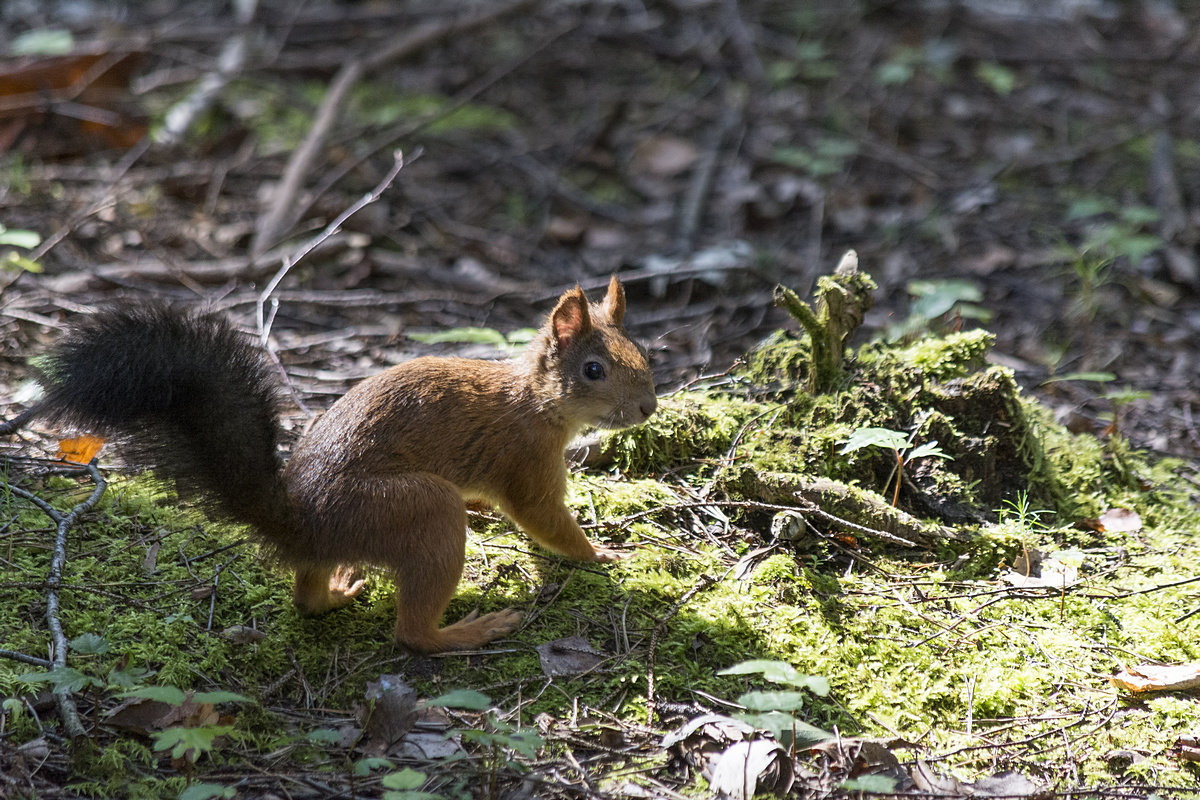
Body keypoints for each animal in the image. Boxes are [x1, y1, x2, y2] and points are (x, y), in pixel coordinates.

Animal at [30, 278, 657, 652]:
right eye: (594, 370)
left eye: (645, 354)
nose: (649, 407)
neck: (535, 398)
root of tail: (302, 521)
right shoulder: (525, 458)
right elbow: (544, 517)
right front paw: (600, 553)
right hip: (418, 508)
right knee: (411, 634)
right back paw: (469, 631)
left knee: (305, 599)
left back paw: (336, 592)